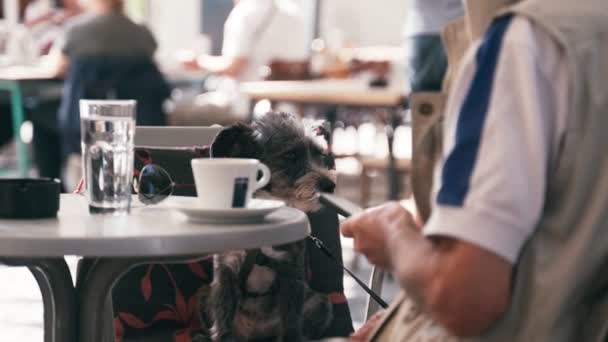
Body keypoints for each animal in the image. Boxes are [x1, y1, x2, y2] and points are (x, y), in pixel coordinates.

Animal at [196, 112, 338, 342]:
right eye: (291, 155)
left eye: (319, 154)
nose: (330, 185)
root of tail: (254, 333)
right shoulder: (226, 270)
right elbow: (223, 324)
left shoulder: (291, 272)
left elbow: (291, 327)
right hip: (204, 294)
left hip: (321, 303)